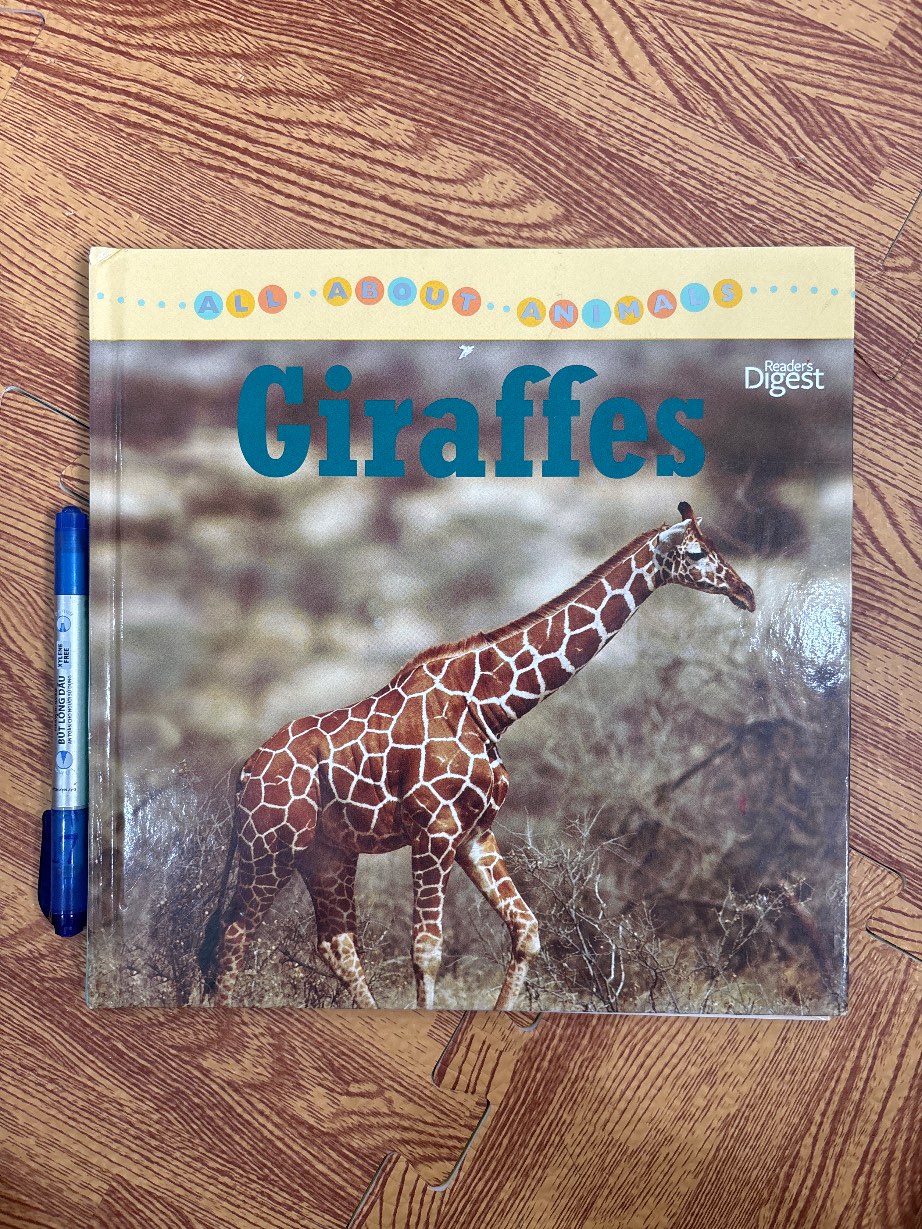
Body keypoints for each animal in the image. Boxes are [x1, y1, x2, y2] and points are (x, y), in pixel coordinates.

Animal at [202, 502, 755, 1010]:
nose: (745, 592)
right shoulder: (435, 832)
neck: (489, 705)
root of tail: (244, 773)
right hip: (270, 849)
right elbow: (427, 950)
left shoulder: (474, 834)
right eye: (696, 552)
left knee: (334, 945)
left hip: (328, 854)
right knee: (233, 934)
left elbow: (527, 931)